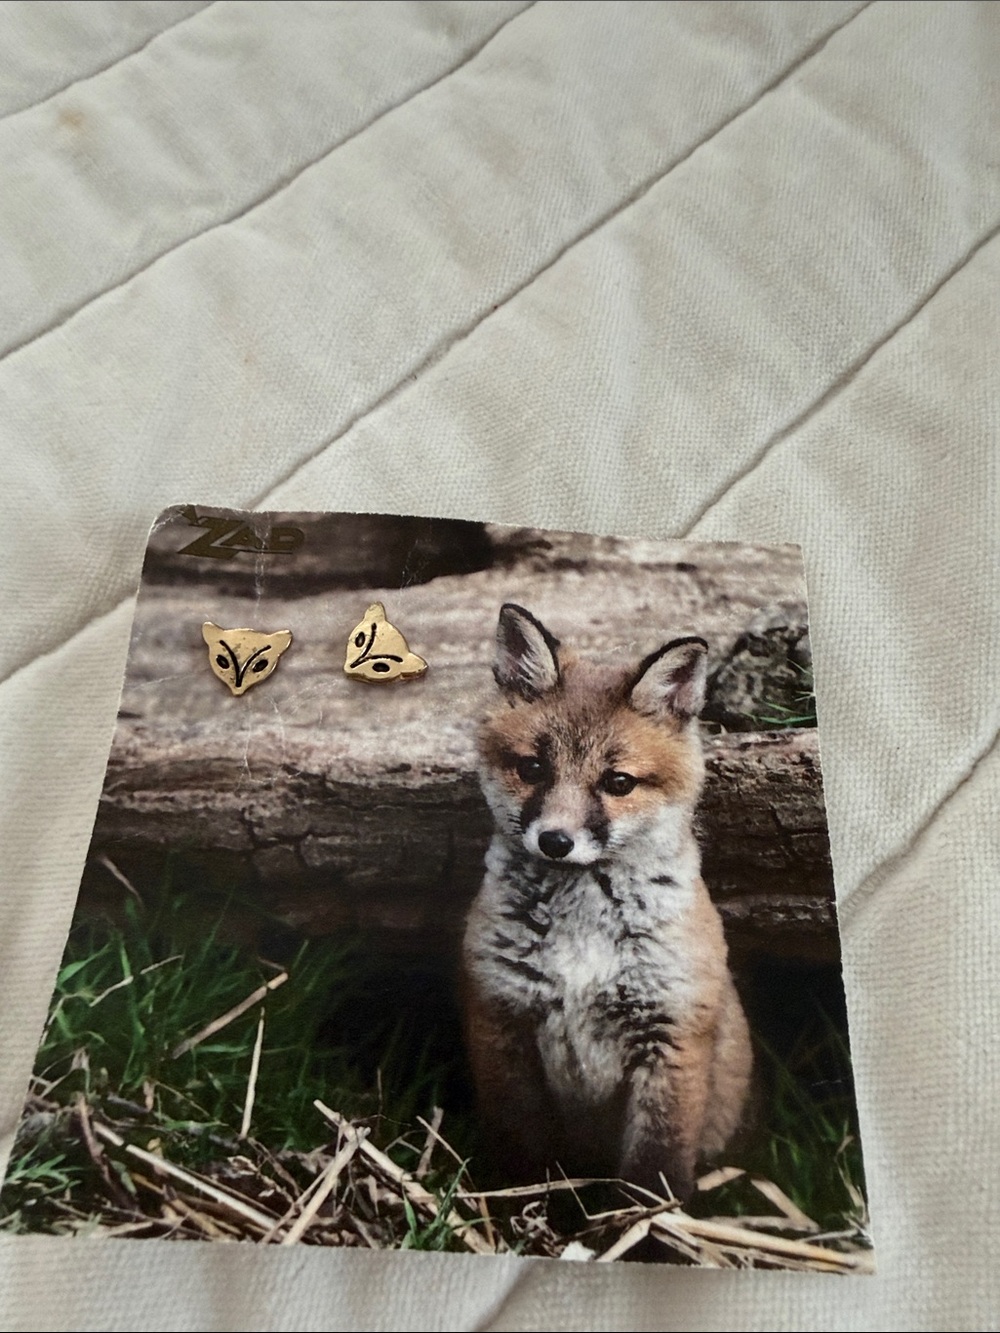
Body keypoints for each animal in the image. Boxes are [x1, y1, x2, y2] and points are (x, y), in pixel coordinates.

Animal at [461, 604, 752, 1202]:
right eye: (533, 769)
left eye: (618, 782)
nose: (555, 840)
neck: (582, 944)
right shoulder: (503, 1023)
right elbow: (526, 1161)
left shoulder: (672, 1036)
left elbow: (654, 1169)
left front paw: (646, 1226)